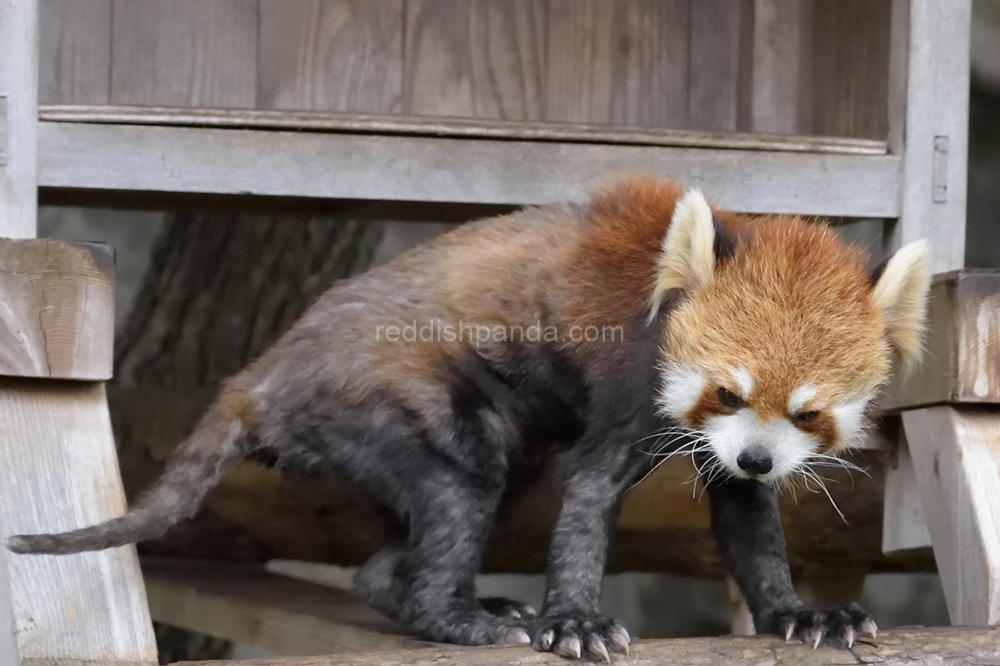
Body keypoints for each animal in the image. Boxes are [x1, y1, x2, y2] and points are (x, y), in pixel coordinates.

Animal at [5, 175, 928, 660]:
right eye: (727, 393)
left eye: (807, 414)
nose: (757, 460)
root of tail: (264, 369)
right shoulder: (634, 379)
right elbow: (591, 494)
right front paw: (574, 621)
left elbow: (745, 524)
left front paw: (798, 613)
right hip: (395, 396)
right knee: (463, 482)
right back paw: (455, 615)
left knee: (442, 520)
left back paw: (432, 593)